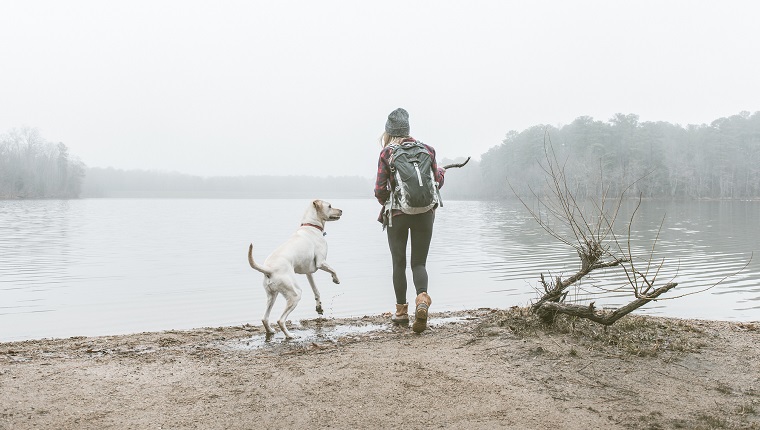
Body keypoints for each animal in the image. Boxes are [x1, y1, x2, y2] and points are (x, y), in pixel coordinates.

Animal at [248, 199, 342, 340]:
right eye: (330, 206)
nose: (341, 210)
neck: (311, 226)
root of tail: (269, 269)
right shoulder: (321, 263)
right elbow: (333, 270)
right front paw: (336, 279)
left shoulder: (309, 273)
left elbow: (316, 290)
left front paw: (319, 307)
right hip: (295, 295)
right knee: (280, 320)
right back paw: (290, 335)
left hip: (272, 295)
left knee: (265, 318)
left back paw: (271, 331)